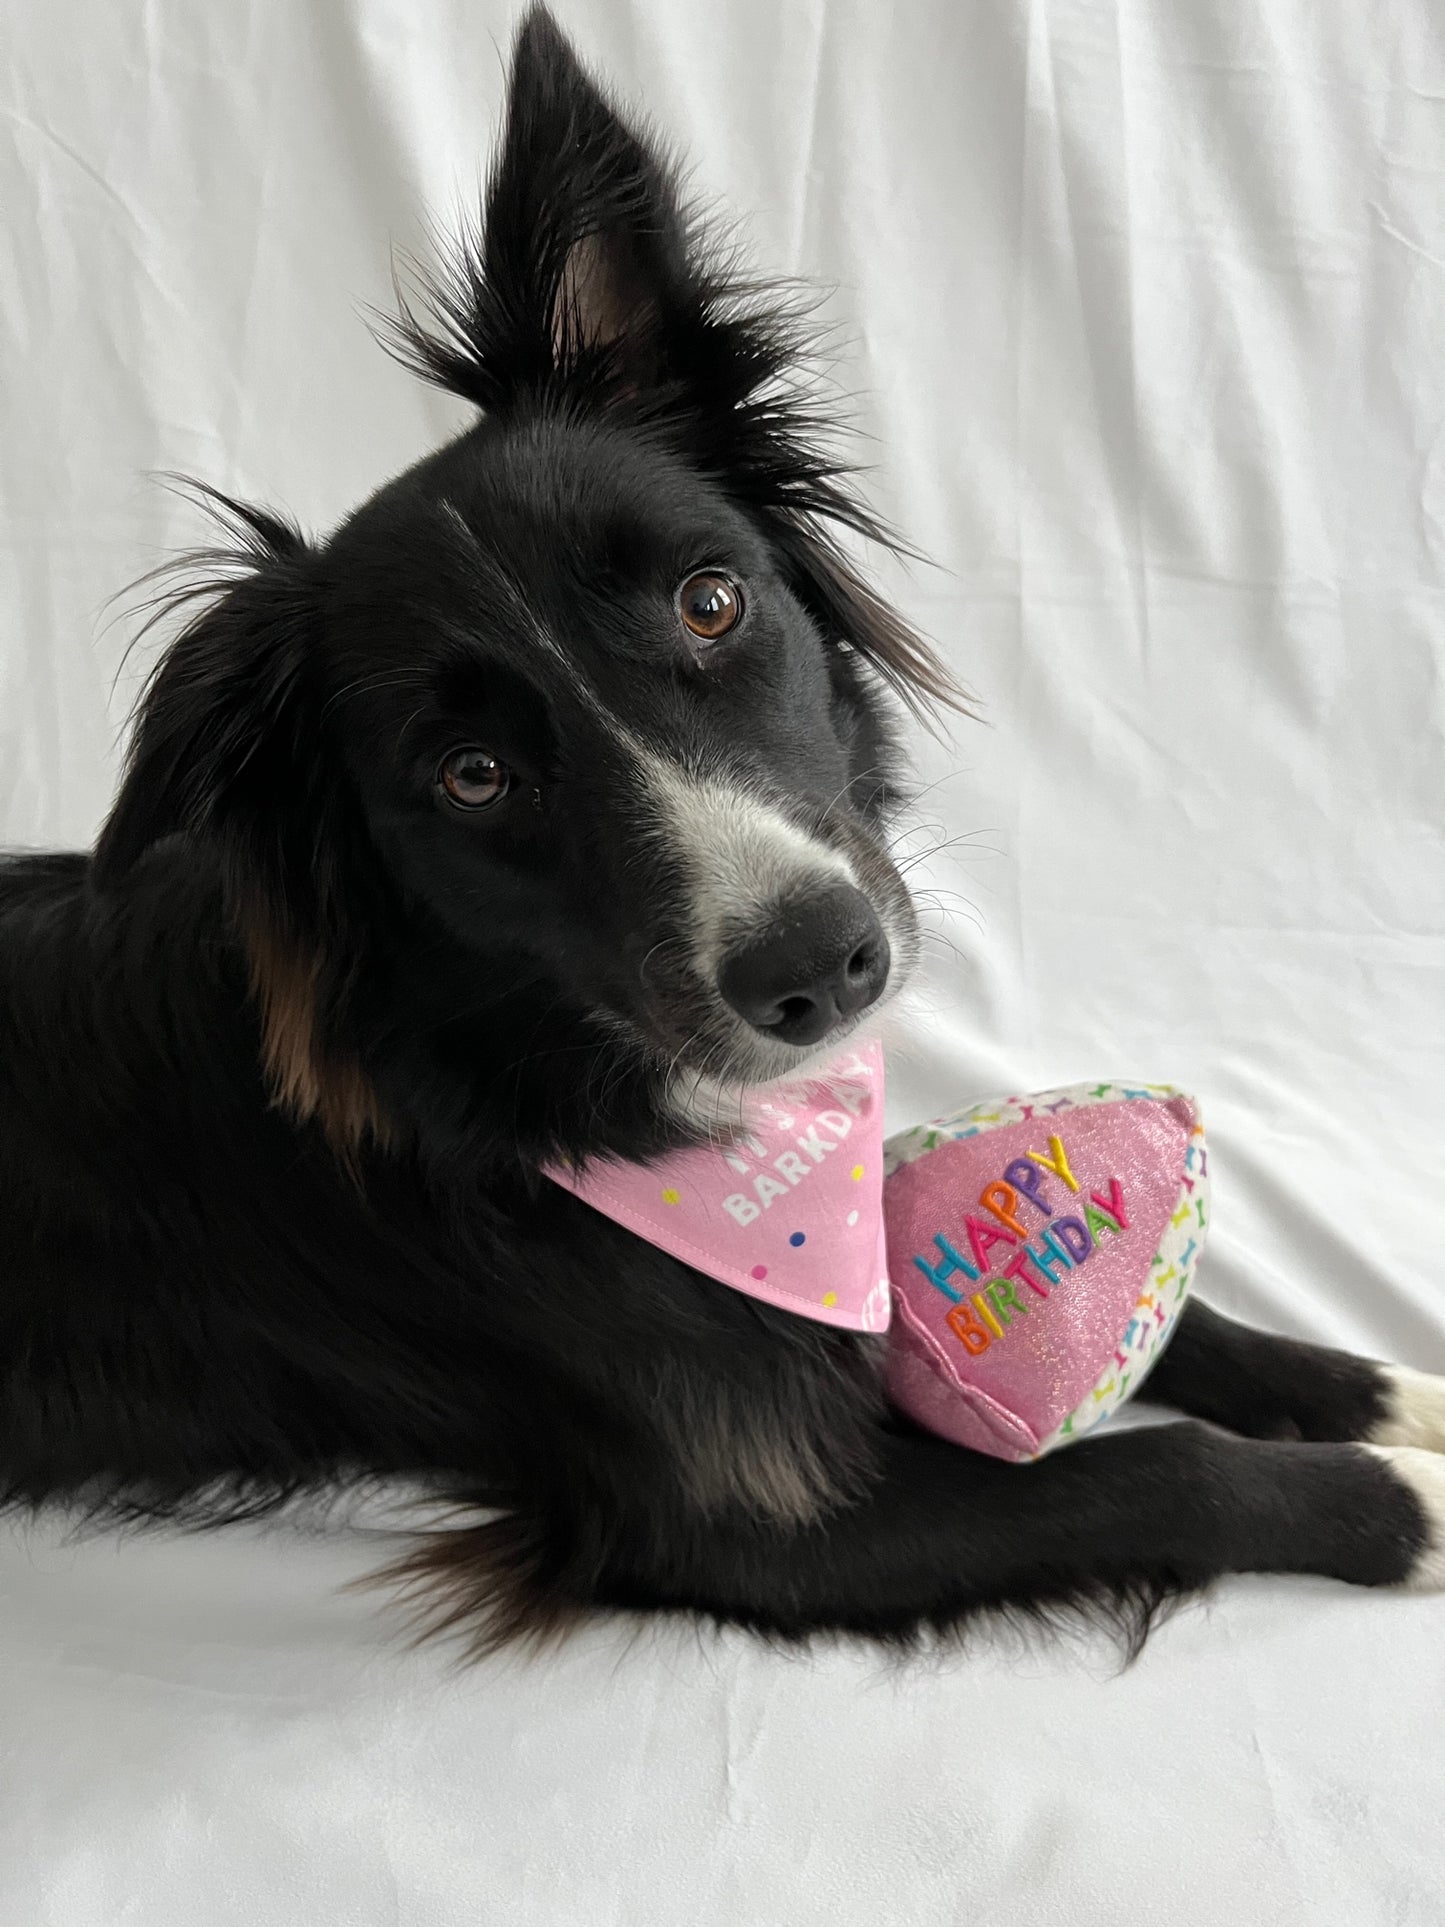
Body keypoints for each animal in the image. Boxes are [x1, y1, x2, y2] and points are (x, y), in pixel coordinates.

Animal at [2, 7, 1445, 1649]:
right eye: (471, 776)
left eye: (709, 600)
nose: (821, 967)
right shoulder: (749, 1513)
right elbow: (1154, 1471)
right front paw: (1400, 1500)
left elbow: (1190, 1328)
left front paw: (1386, 1387)